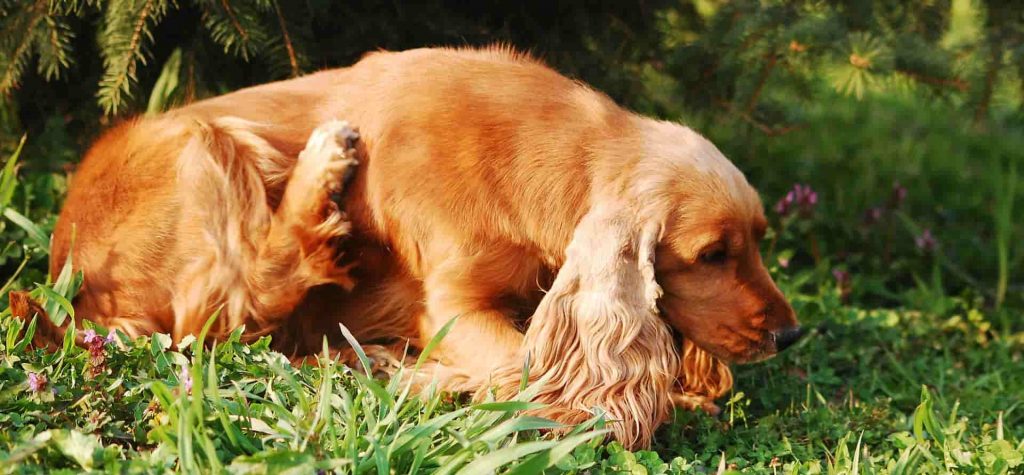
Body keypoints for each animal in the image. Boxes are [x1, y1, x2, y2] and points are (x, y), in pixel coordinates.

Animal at [28, 45, 802, 448]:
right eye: (711, 254)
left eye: (759, 241)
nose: (790, 334)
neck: (550, 157)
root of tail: (70, 282)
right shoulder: (452, 305)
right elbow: (526, 372)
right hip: (205, 143)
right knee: (239, 302)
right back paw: (324, 169)